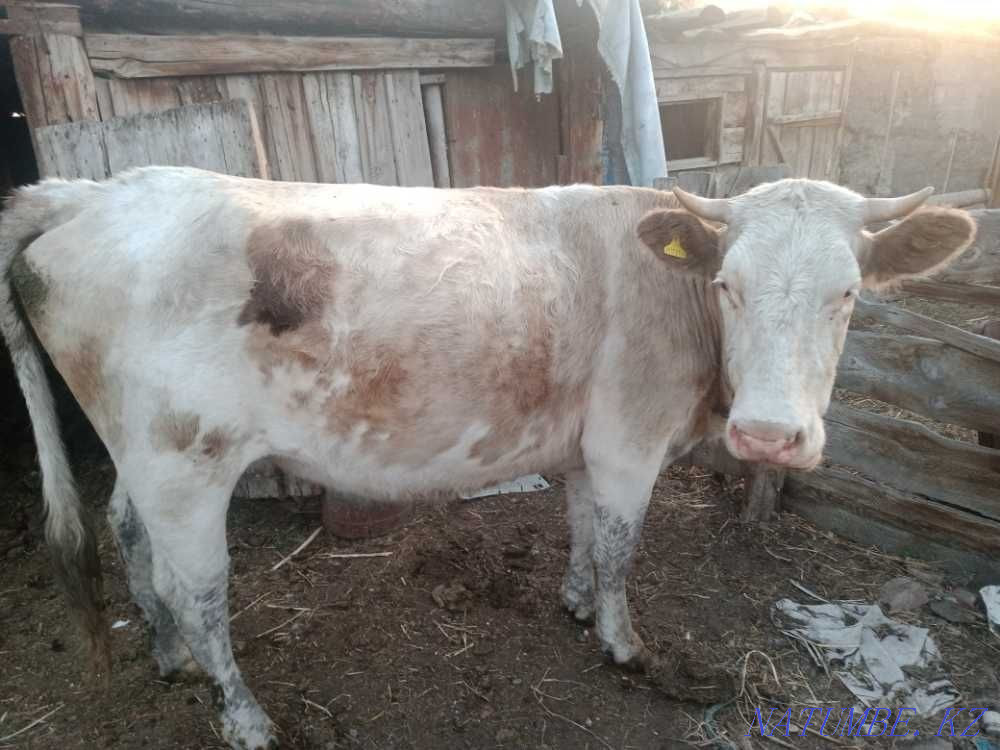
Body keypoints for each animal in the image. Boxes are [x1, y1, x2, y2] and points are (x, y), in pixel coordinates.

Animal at [0, 167, 975, 749]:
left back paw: (167, 658)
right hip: (186, 462)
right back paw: (241, 714)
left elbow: (583, 529)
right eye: (729, 284)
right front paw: (622, 642)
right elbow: (621, 545)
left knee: (129, 537)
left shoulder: (585, 443)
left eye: (847, 294)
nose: (770, 436)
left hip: (143, 455)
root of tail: (89, 190)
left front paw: (576, 602)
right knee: (196, 589)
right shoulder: (628, 439)